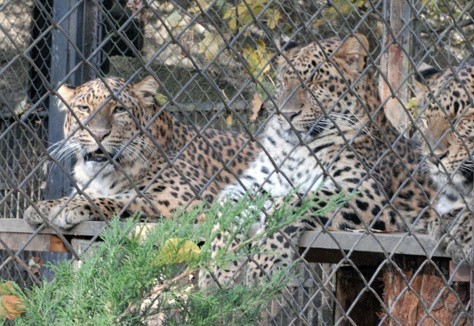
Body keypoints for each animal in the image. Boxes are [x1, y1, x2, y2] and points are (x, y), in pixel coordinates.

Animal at [24, 76, 258, 229]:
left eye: (119, 109)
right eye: (84, 108)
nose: (98, 134)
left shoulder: (194, 198)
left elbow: (129, 198)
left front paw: (70, 207)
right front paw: (46, 206)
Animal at [197, 34, 440, 292]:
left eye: (314, 82)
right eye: (284, 81)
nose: (286, 114)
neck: (294, 148)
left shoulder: (366, 193)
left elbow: (291, 203)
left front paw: (266, 262)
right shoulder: (254, 184)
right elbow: (224, 210)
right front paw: (216, 267)